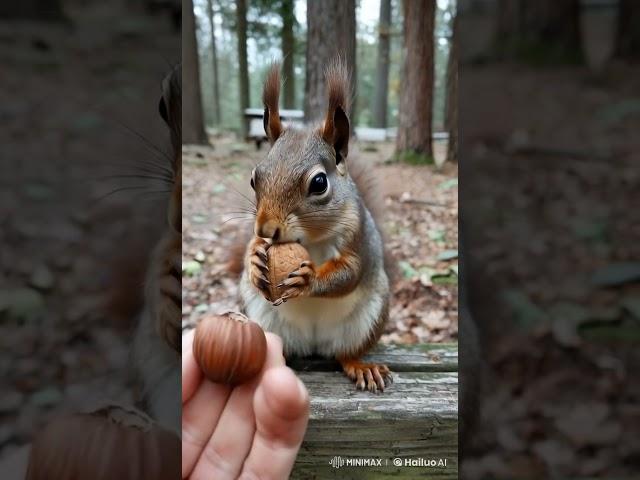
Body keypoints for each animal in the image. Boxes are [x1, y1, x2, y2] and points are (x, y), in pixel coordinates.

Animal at [239, 58, 392, 392]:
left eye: (319, 183)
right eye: (254, 178)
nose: (266, 230)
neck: (308, 239)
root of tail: (314, 344)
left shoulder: (358, 237)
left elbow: (350, 272)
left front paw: (308, 280)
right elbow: (251, 252)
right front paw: (255, 259)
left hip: (370, 317)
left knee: (345, 353)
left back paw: (362, 366)